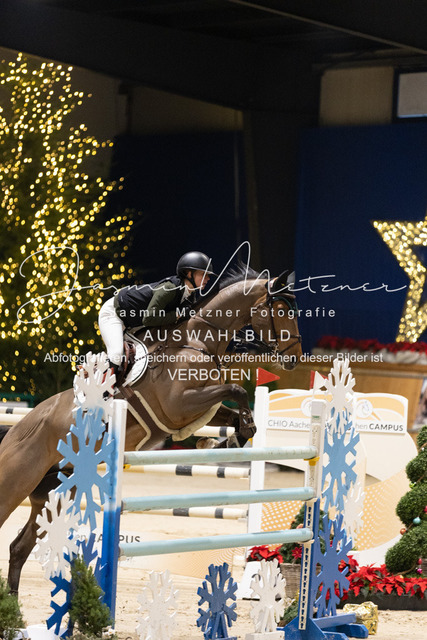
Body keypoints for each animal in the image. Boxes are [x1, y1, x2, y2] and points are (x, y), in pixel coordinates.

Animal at [0, 267, 302, 594]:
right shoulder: (179, 404)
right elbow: (236, 390)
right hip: (14, 485)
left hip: (58, 490)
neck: (197, 341)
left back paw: (14, 604)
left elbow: (234, 416)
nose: (294, 359)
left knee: (20, 546)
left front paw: (222, 441)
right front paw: (224, 436)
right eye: (282, 310)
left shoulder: (195, 407)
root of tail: (15, 432)